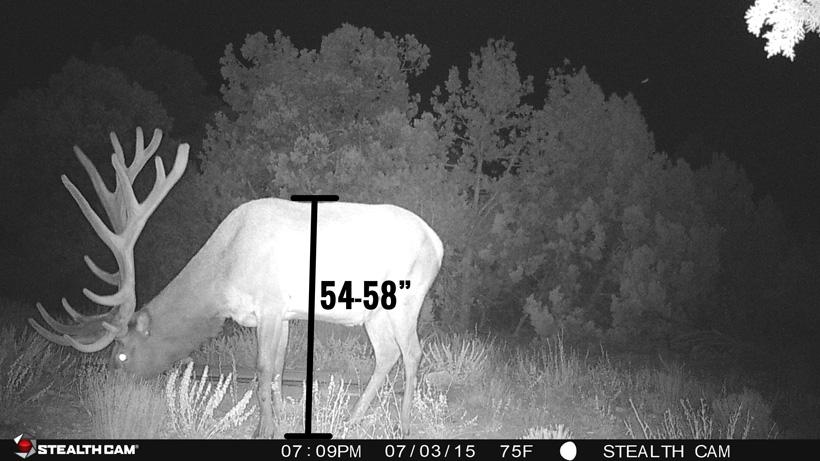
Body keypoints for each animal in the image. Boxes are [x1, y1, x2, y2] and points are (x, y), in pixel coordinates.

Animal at [29, 127, 444, 438]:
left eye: (122, 354)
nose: (108, 389)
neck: (226, 272)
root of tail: (438, 244)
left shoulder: (271, 303)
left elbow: (261, 369)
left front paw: (262, 431)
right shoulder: (284, 313)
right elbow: (276, 369)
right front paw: (277, 423)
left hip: (406, 298)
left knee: (413, 353)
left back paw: (404, 425)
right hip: (375, 312)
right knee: (387, 354)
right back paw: (353, 418)